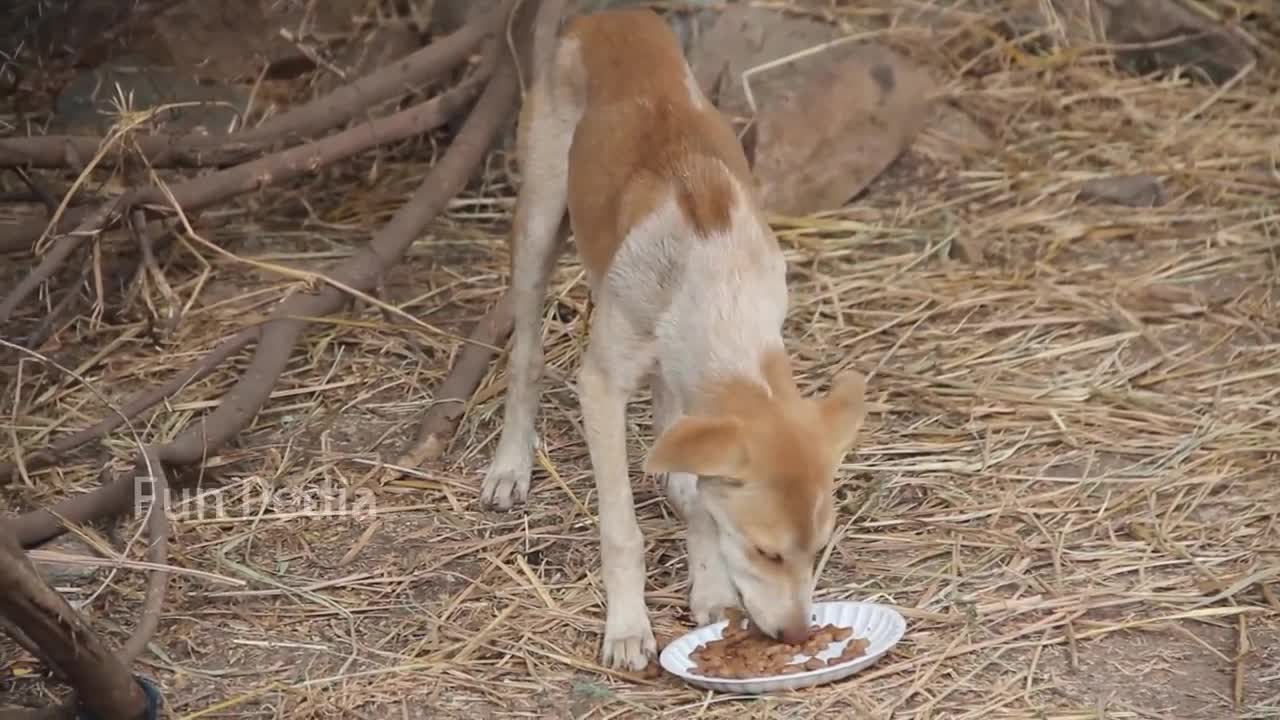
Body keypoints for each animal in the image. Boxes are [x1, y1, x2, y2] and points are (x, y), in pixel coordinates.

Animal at [481, 5, 870, 671]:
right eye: (767, 552)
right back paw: (511, 463)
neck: (719, 281)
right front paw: (627, 627)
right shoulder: (601, 388)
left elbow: (702, 503)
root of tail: (611, 16)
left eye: (818, 550)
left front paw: (710, 587)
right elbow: (622, 531)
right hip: (537, 226)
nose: (798, 635)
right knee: (526, 356)